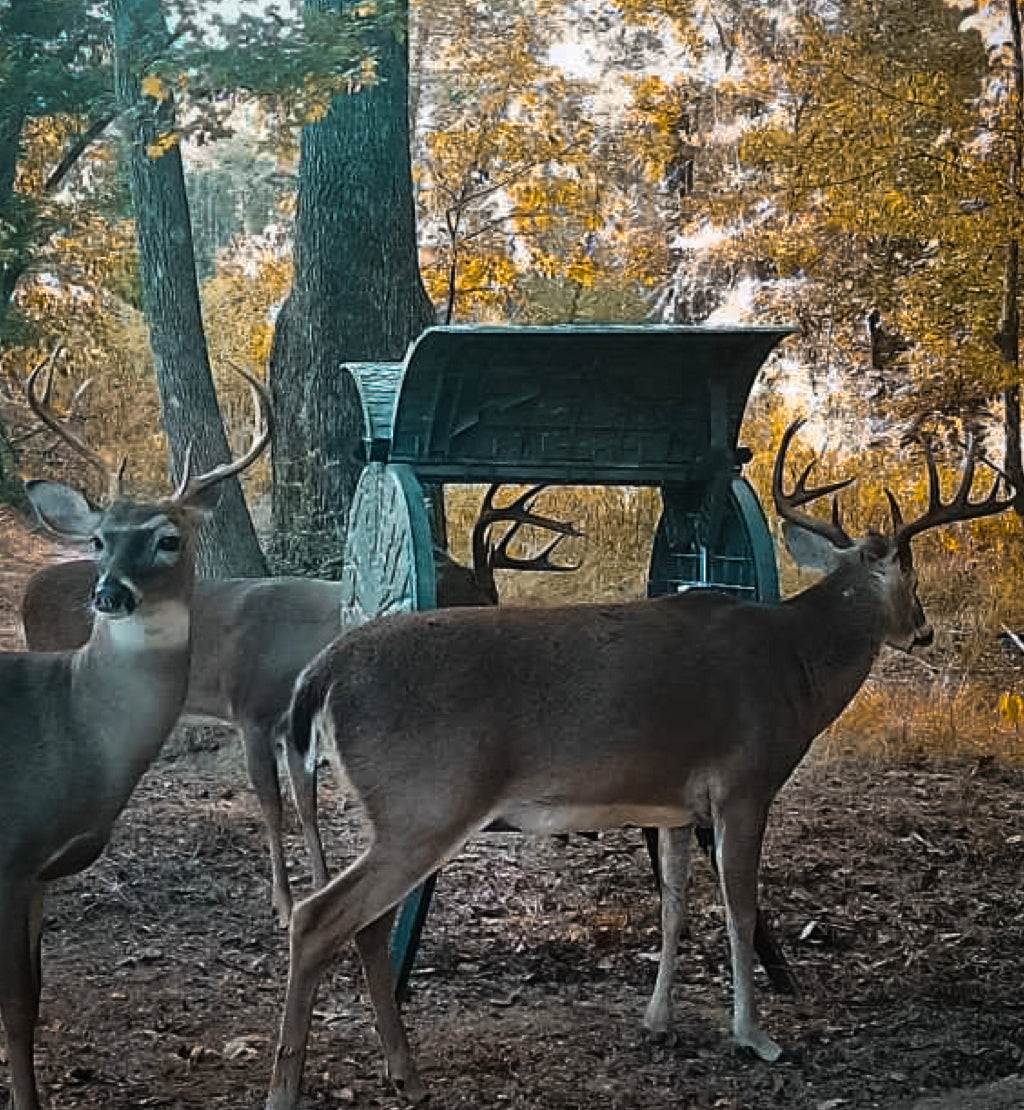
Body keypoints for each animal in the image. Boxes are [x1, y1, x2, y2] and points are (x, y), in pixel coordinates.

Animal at [0, 359, 271, 1110]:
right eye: (98, 539)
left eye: (168, 538)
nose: (109, 594)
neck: (71, 726)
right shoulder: (9, 854)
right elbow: (15, 1005)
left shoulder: (37, 872)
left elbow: (34, 996)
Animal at [20, 481, 580, 923]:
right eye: (460, 595)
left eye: (491, 595)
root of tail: (31, 586)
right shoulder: (250, 711)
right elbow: (272, 805)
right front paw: (284, 905)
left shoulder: (295, 724)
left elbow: (307, 804)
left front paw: (319, 882)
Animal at [263, 419, 1012, 1109]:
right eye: (911, 574)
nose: (924, 631)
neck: (796, 667)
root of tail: (321, 674)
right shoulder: (745, 782)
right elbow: (740, 908)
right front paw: (756, 1035)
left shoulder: (676, 803)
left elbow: (674, 904)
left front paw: (657, 1019)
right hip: (426, 803)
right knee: (319, 918)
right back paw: (287, 1087)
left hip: (400, 814)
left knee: (366, 924)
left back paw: (405, 1073)